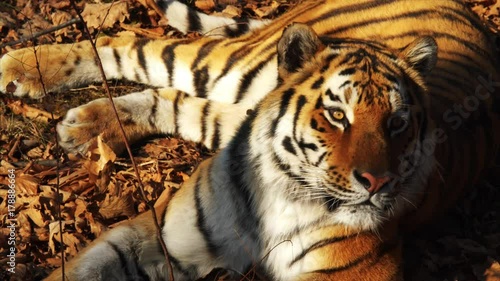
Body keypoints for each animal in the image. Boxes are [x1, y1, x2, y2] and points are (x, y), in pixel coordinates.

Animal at [0, 0, 498, 278]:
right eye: (337, 115)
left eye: (398, 123)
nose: (378, 184)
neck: (283, 190)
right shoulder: (164, 234)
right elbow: (82, 269)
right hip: (224, 62)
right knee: (124, 44)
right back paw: (23, 67)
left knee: (174, 98)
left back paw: (87, 127)